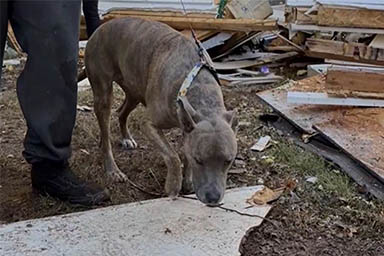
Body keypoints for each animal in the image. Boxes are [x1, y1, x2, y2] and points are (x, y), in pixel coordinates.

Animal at [85, 17, 238, 206]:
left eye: (228, 161)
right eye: (199, 160)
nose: (213, 199)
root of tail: (99, 30)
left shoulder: (187, 125)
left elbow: (184, 151)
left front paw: (188, 181)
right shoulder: (149, 124)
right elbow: (173, 156)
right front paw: (173, 185)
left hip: (134, 90)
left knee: (121, 112)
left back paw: (126, 138)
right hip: (103, 93)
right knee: (106, 135)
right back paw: (113, 170)